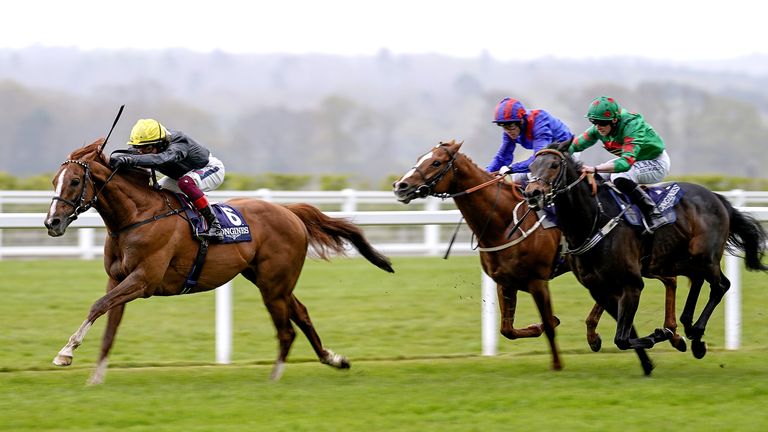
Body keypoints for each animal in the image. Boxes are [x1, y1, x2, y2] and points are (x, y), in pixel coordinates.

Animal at [44, 139, 392, 384]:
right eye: (53, 181)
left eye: (74, 182)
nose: (52, 223)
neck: (137, 216)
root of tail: (288, 211)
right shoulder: (118, 279)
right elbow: (108, 326)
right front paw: (95, 376)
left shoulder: (143, 281)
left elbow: (97, 306)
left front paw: (65, 353)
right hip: (269, 280)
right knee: (302, 315)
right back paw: (334, 359)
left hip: (273, 285)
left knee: (286, 330)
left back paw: (275, 377)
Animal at [392, 139, 680, 372]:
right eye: (420, 158)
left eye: (436, 162)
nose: (400, 186)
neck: (504, 223)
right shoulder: (505, 282)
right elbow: (507, 329)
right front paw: (538, 326)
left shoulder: (537, 281)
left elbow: (549, 326)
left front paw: (557, 362)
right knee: (662, 281)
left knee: (665, 280)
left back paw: (668, 333)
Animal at [520, 142, 768, 372]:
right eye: (531, 166)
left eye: (554, 165)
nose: (532, 193)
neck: (594, 220)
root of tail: (718, 198)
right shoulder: (599, 288)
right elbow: (619, 331)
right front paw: (650, 353)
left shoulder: (632, 284)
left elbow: (622, 338)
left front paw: (660, 336)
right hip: (680, 259)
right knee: (696, 280)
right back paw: (690, 330)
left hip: (705, 256)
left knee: (720, 286)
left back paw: (695, 333)